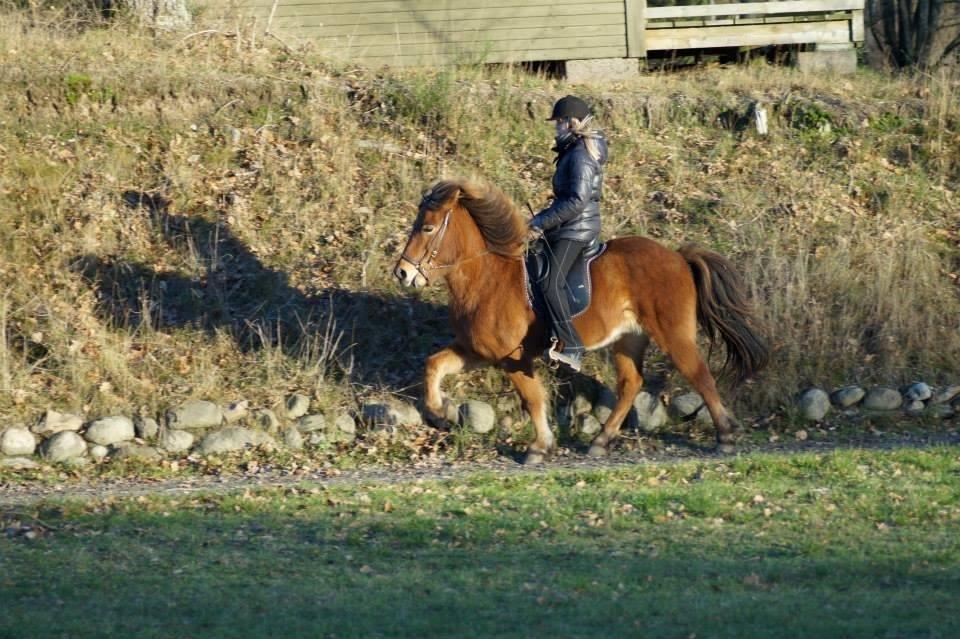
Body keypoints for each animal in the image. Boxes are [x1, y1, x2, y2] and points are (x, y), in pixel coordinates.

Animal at [394, 178, 768, 462]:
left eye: (427, 227)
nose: (402, 273)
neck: (488, 277)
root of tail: (678, 257)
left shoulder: (513, 357)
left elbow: (533, 399)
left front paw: (539, 447)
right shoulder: (479, 351)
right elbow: (434, 364)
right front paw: (441, 409)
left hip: (674, 335)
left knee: (699, 376)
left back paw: (725, 435)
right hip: (628, 339)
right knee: (631, 384)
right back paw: (601, 441)